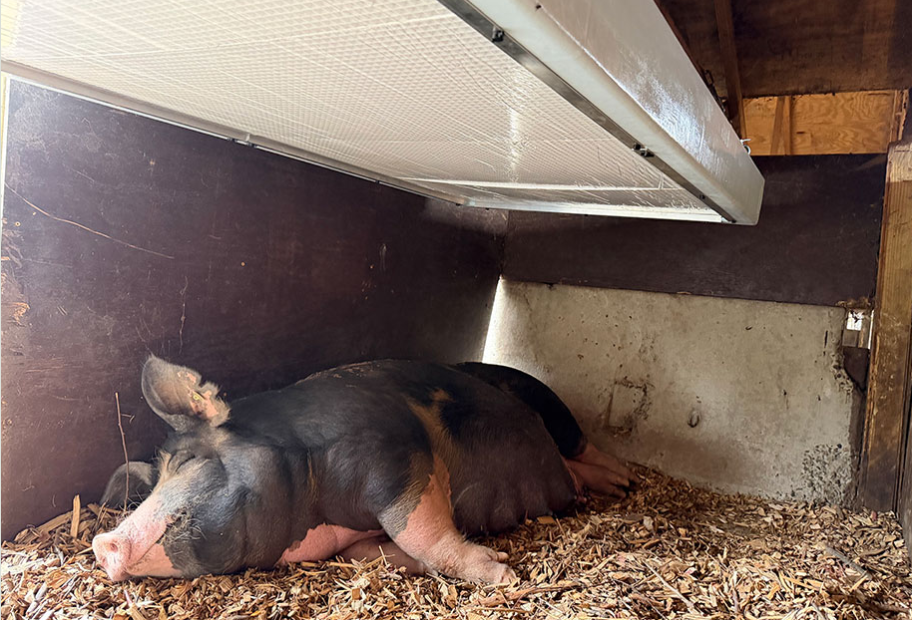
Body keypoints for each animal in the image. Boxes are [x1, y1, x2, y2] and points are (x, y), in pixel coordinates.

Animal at [93, 356, 630, 584]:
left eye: (187, 461)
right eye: (150, 483)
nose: (101, 543)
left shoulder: (396, 457)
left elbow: (419, 528)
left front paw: (502, 574)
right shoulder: (351, 540)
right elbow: (377, 553)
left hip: (549, 405)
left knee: (585, 446)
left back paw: (624, 482)